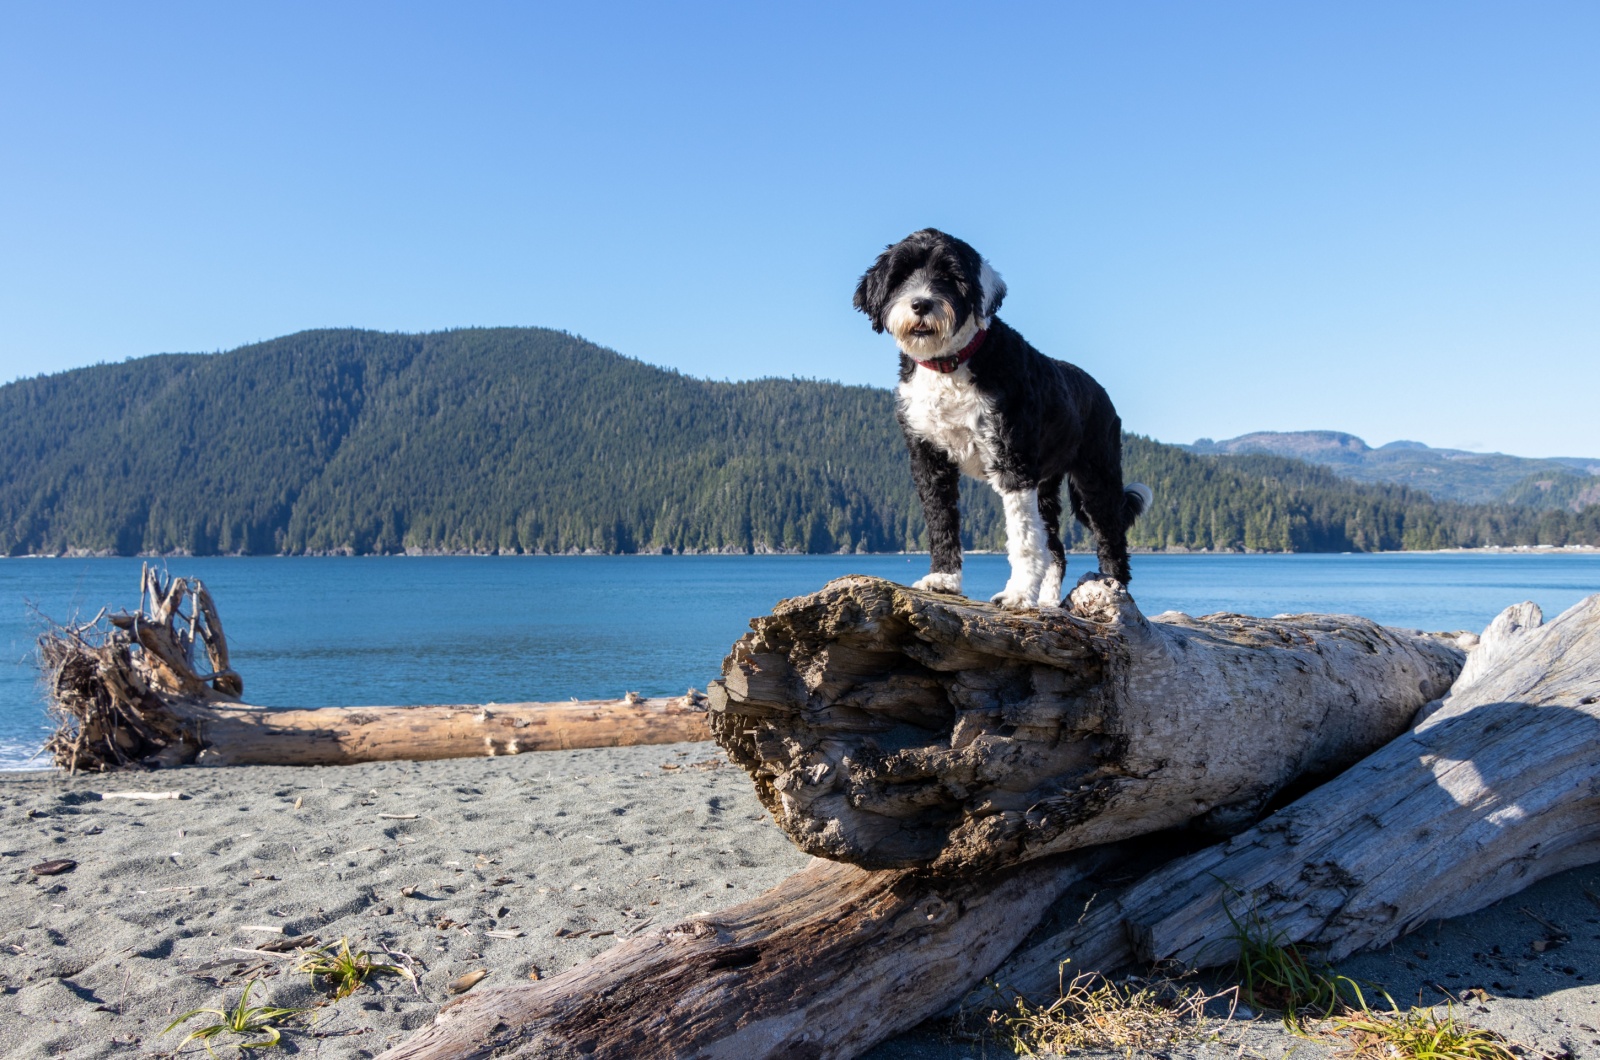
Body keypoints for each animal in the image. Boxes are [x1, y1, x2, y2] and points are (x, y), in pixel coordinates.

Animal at [851, 230, 1152, 614]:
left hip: (1097, 476)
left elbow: (1023, 538)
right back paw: (1049, 601)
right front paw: (944, 579)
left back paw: (1116, 589)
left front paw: (1018, 594)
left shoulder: (1013, 462)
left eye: (950, 276)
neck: (951, 365)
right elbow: (940, 520)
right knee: (1055, 548)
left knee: (1111, 537)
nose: (921, 304)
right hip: (1047, 486)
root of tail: (1099, 390)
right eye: (901, 275)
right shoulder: (928, 460)